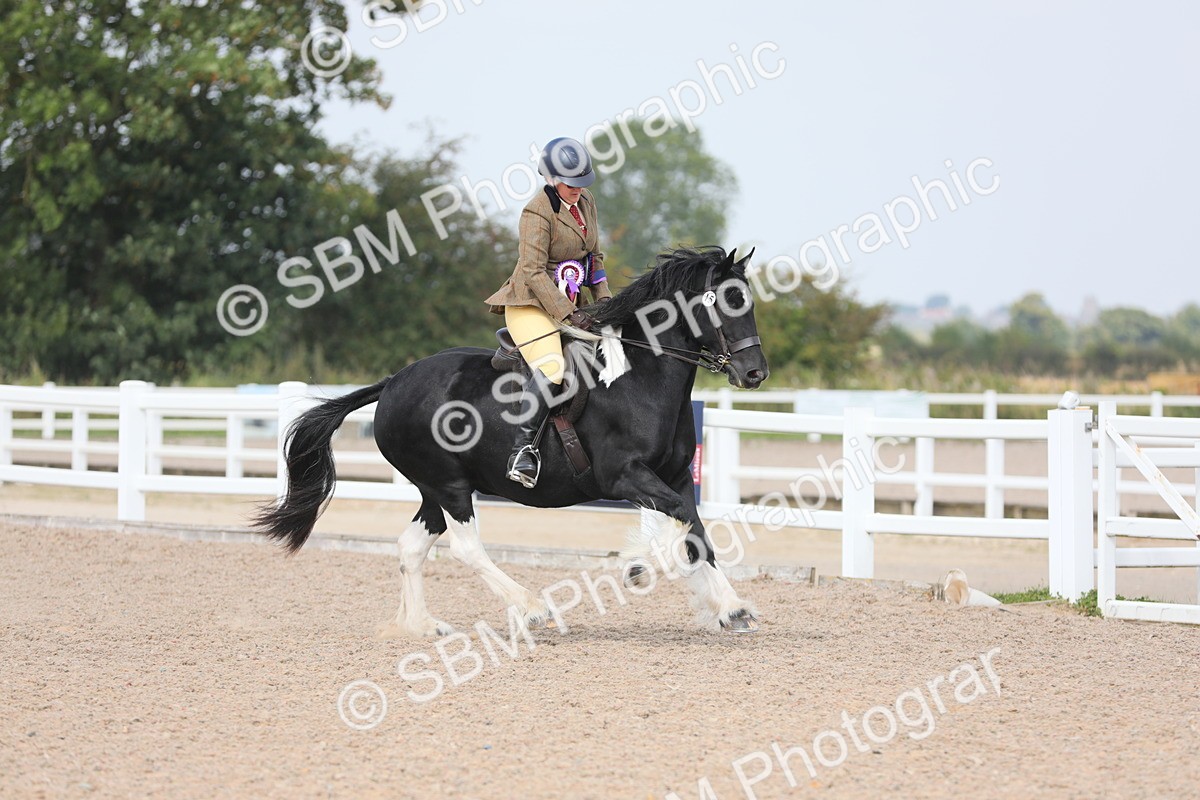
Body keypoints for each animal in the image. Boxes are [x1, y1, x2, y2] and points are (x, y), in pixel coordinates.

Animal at [252, 245, 770, 635]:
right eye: (723, 300)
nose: (754, 373)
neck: (638, 376)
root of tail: (394, 381)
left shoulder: (676, 476)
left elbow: (697, 532)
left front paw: (730, 608)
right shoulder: (624, 477)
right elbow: (681, 529)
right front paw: (642, 566)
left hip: (433, 489)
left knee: (411, 547)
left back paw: (423, 626)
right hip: (449, 485)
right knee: (465, 547)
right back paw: (532, 607)